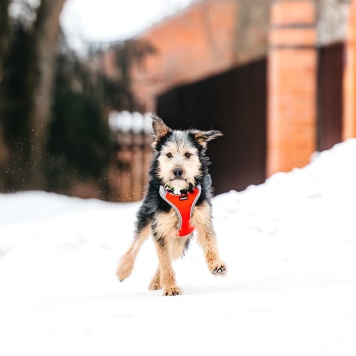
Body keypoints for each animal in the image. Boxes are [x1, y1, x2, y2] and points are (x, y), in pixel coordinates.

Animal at [115, 114, 227, 294]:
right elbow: (164, 261)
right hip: (148, 219)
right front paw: (170, 288)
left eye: (188, 155)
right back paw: (123, 270)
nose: (178, 171)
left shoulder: (202, 219)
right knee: (135, 246)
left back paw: (156, 281)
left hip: (181, 237)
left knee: (169, 254)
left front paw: (216, 265)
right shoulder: (160, 227)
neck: (180, 194)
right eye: (169, 155)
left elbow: (210, 242)